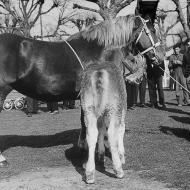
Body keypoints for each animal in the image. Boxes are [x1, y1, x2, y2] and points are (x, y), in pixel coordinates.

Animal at [0, 14, 164, 166]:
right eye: (153, 30)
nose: (161, 56)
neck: (98, 51)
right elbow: (88, 122)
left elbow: (84, 121)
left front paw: (83, 146)